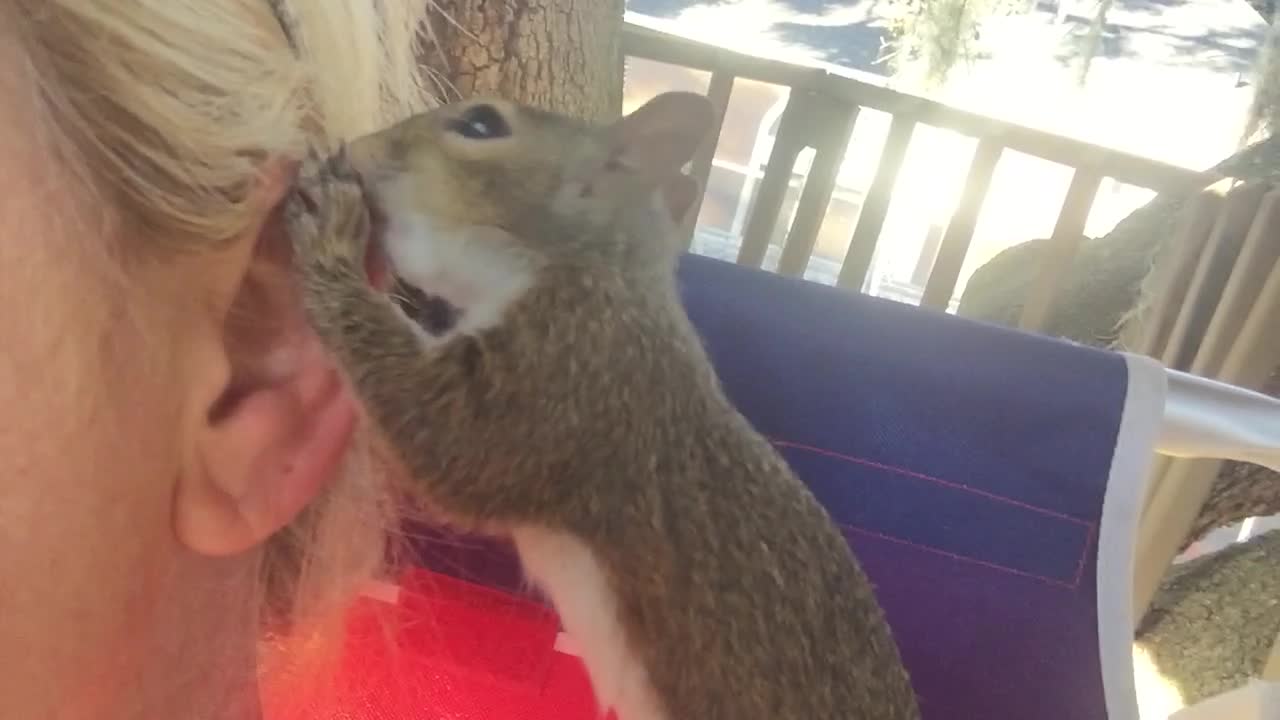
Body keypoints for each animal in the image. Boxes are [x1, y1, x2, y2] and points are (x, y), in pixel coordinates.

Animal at [282, 90, 921, 717]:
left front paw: (331, 233)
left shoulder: (572, 371)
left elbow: (447, 437)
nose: (358, 148)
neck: (594, 268)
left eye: (482, 124)